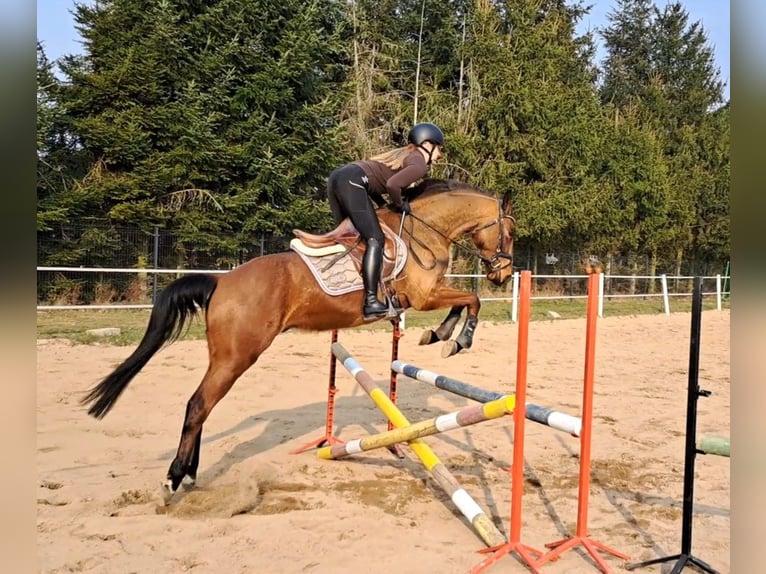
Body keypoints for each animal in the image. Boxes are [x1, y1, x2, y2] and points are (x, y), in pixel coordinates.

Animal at [81, 178, 516, 502]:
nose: (503, 275)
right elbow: (471, 299)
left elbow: (462, 301)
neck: (424, 228)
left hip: (223, 356)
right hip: (238, 356)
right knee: (198, 404)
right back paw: (174, 479)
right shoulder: (423, 295)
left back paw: (189, 474)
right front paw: (456, 339)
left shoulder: (424, 297)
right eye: (510, 232)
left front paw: (438, 334)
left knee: (201, 407)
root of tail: (221, 281)